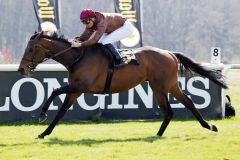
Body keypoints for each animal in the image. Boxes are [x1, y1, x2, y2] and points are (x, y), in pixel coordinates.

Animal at [17, 31, 228, 139]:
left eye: (30, 49)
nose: (21, 69)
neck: (79, 56)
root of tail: (170, 53)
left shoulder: (81, 86)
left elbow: (54, 91)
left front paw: (42, 114)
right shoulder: (75, 90)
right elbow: (61, 112)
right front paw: (44, 133)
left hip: (161, 86)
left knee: (170, 110)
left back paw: (160, 134)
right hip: (167, 85)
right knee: (184, 105)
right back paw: (207, 126)